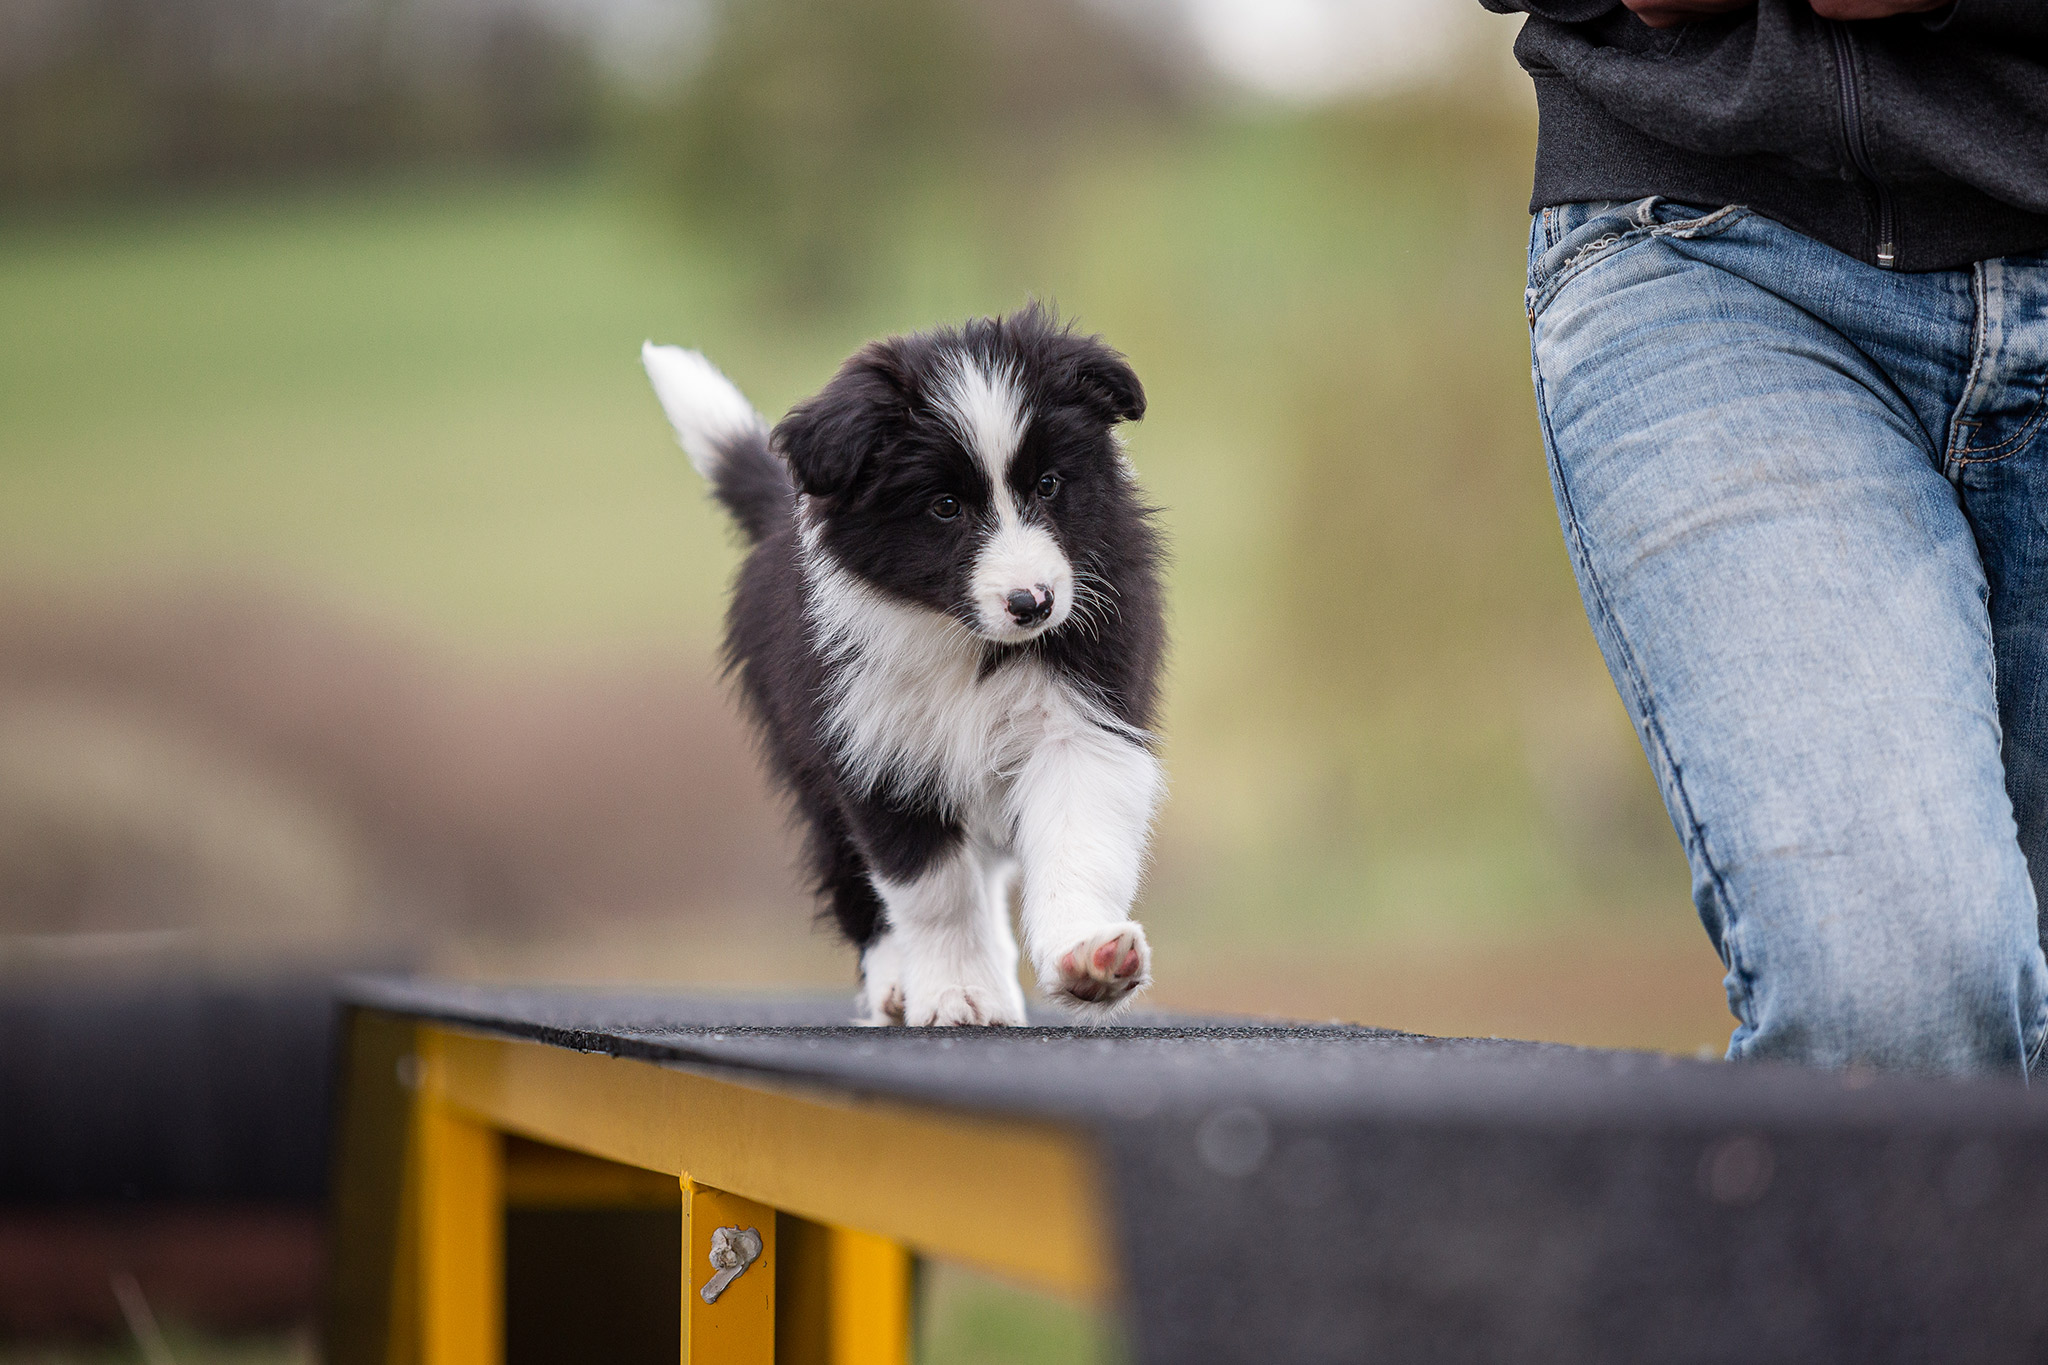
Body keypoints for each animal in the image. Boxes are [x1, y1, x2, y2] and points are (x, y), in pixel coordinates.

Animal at [638, 300, 1163, 1023]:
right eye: (944, 507)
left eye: (1050, 485)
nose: (1033, 603)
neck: (962, 640)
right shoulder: (875, 749)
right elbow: (933, 891)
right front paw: (957, 991)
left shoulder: (1081, 719)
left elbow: (1078, 837)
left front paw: (1088, 957)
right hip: (810, 770)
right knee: (860, 880)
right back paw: (896, 980)